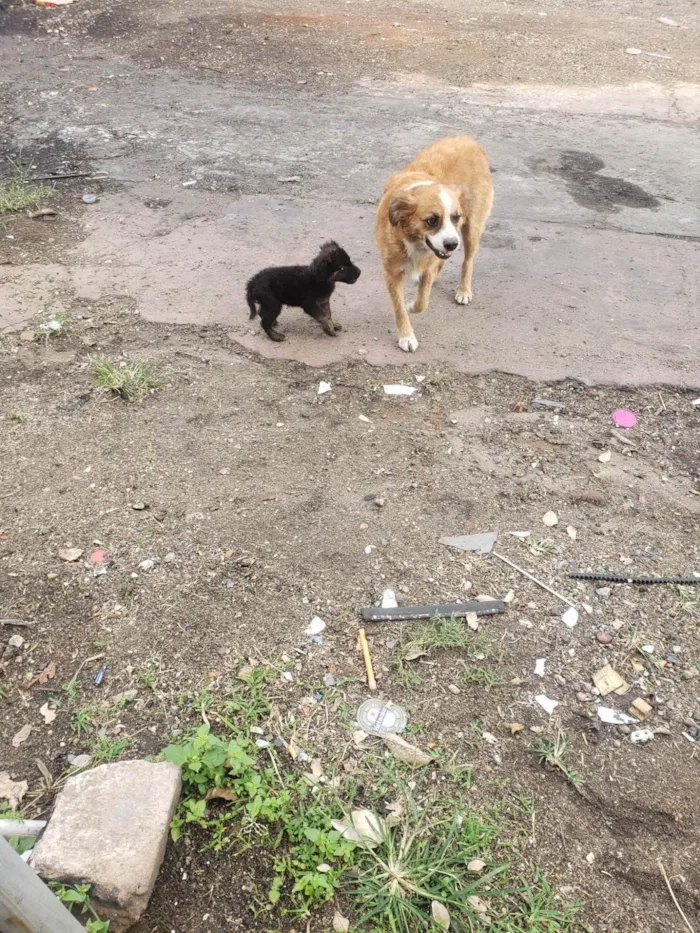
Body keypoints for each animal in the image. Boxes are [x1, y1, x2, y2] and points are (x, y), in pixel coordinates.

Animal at [378, 138, 492, 354]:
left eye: (456, 217)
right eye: (431, 220)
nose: (452, 244)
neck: (413, 240)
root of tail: (468, 139)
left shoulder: (428, 265)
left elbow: (422, 302)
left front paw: (411, 306)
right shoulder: (391, 272)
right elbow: (398, 307)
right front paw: (406, 335)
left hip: (472, 229)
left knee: (468, 261)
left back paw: (464, 290)